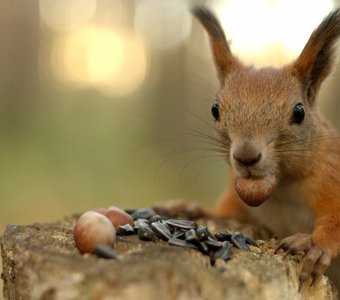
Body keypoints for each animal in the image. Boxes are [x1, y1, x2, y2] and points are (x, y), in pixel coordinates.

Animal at [189, 5, 340, 290]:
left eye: (299, 112)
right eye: (215, 109)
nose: (246, 156)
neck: (282, 188)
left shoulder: (332, 176)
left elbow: (335, 221)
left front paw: (314, 245)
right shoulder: (239, 202)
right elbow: (224, 212)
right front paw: (191, 209)